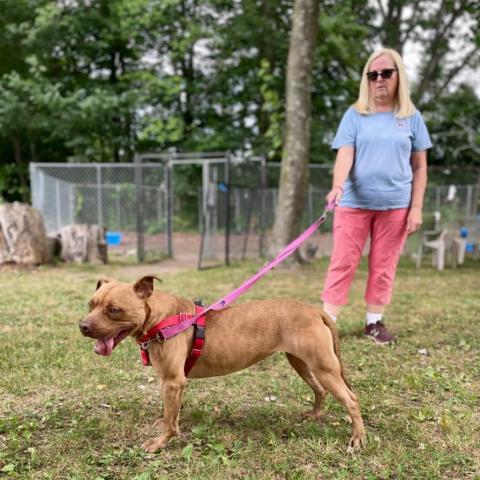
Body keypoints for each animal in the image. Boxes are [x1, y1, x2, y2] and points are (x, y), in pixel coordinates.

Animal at [79, 276, 366, 452]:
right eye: (91, 304)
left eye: (114, 310)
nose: (82, 326)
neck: (161, 317)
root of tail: (315, 310)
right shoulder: (175, 385)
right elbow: (172, 414)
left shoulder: (172, 382)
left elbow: (169, 420)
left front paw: (160, 442)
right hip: (302, 364)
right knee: (320, 389)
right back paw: (315, 415)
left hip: (323, 367)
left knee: (351, 399)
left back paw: (357, 438)